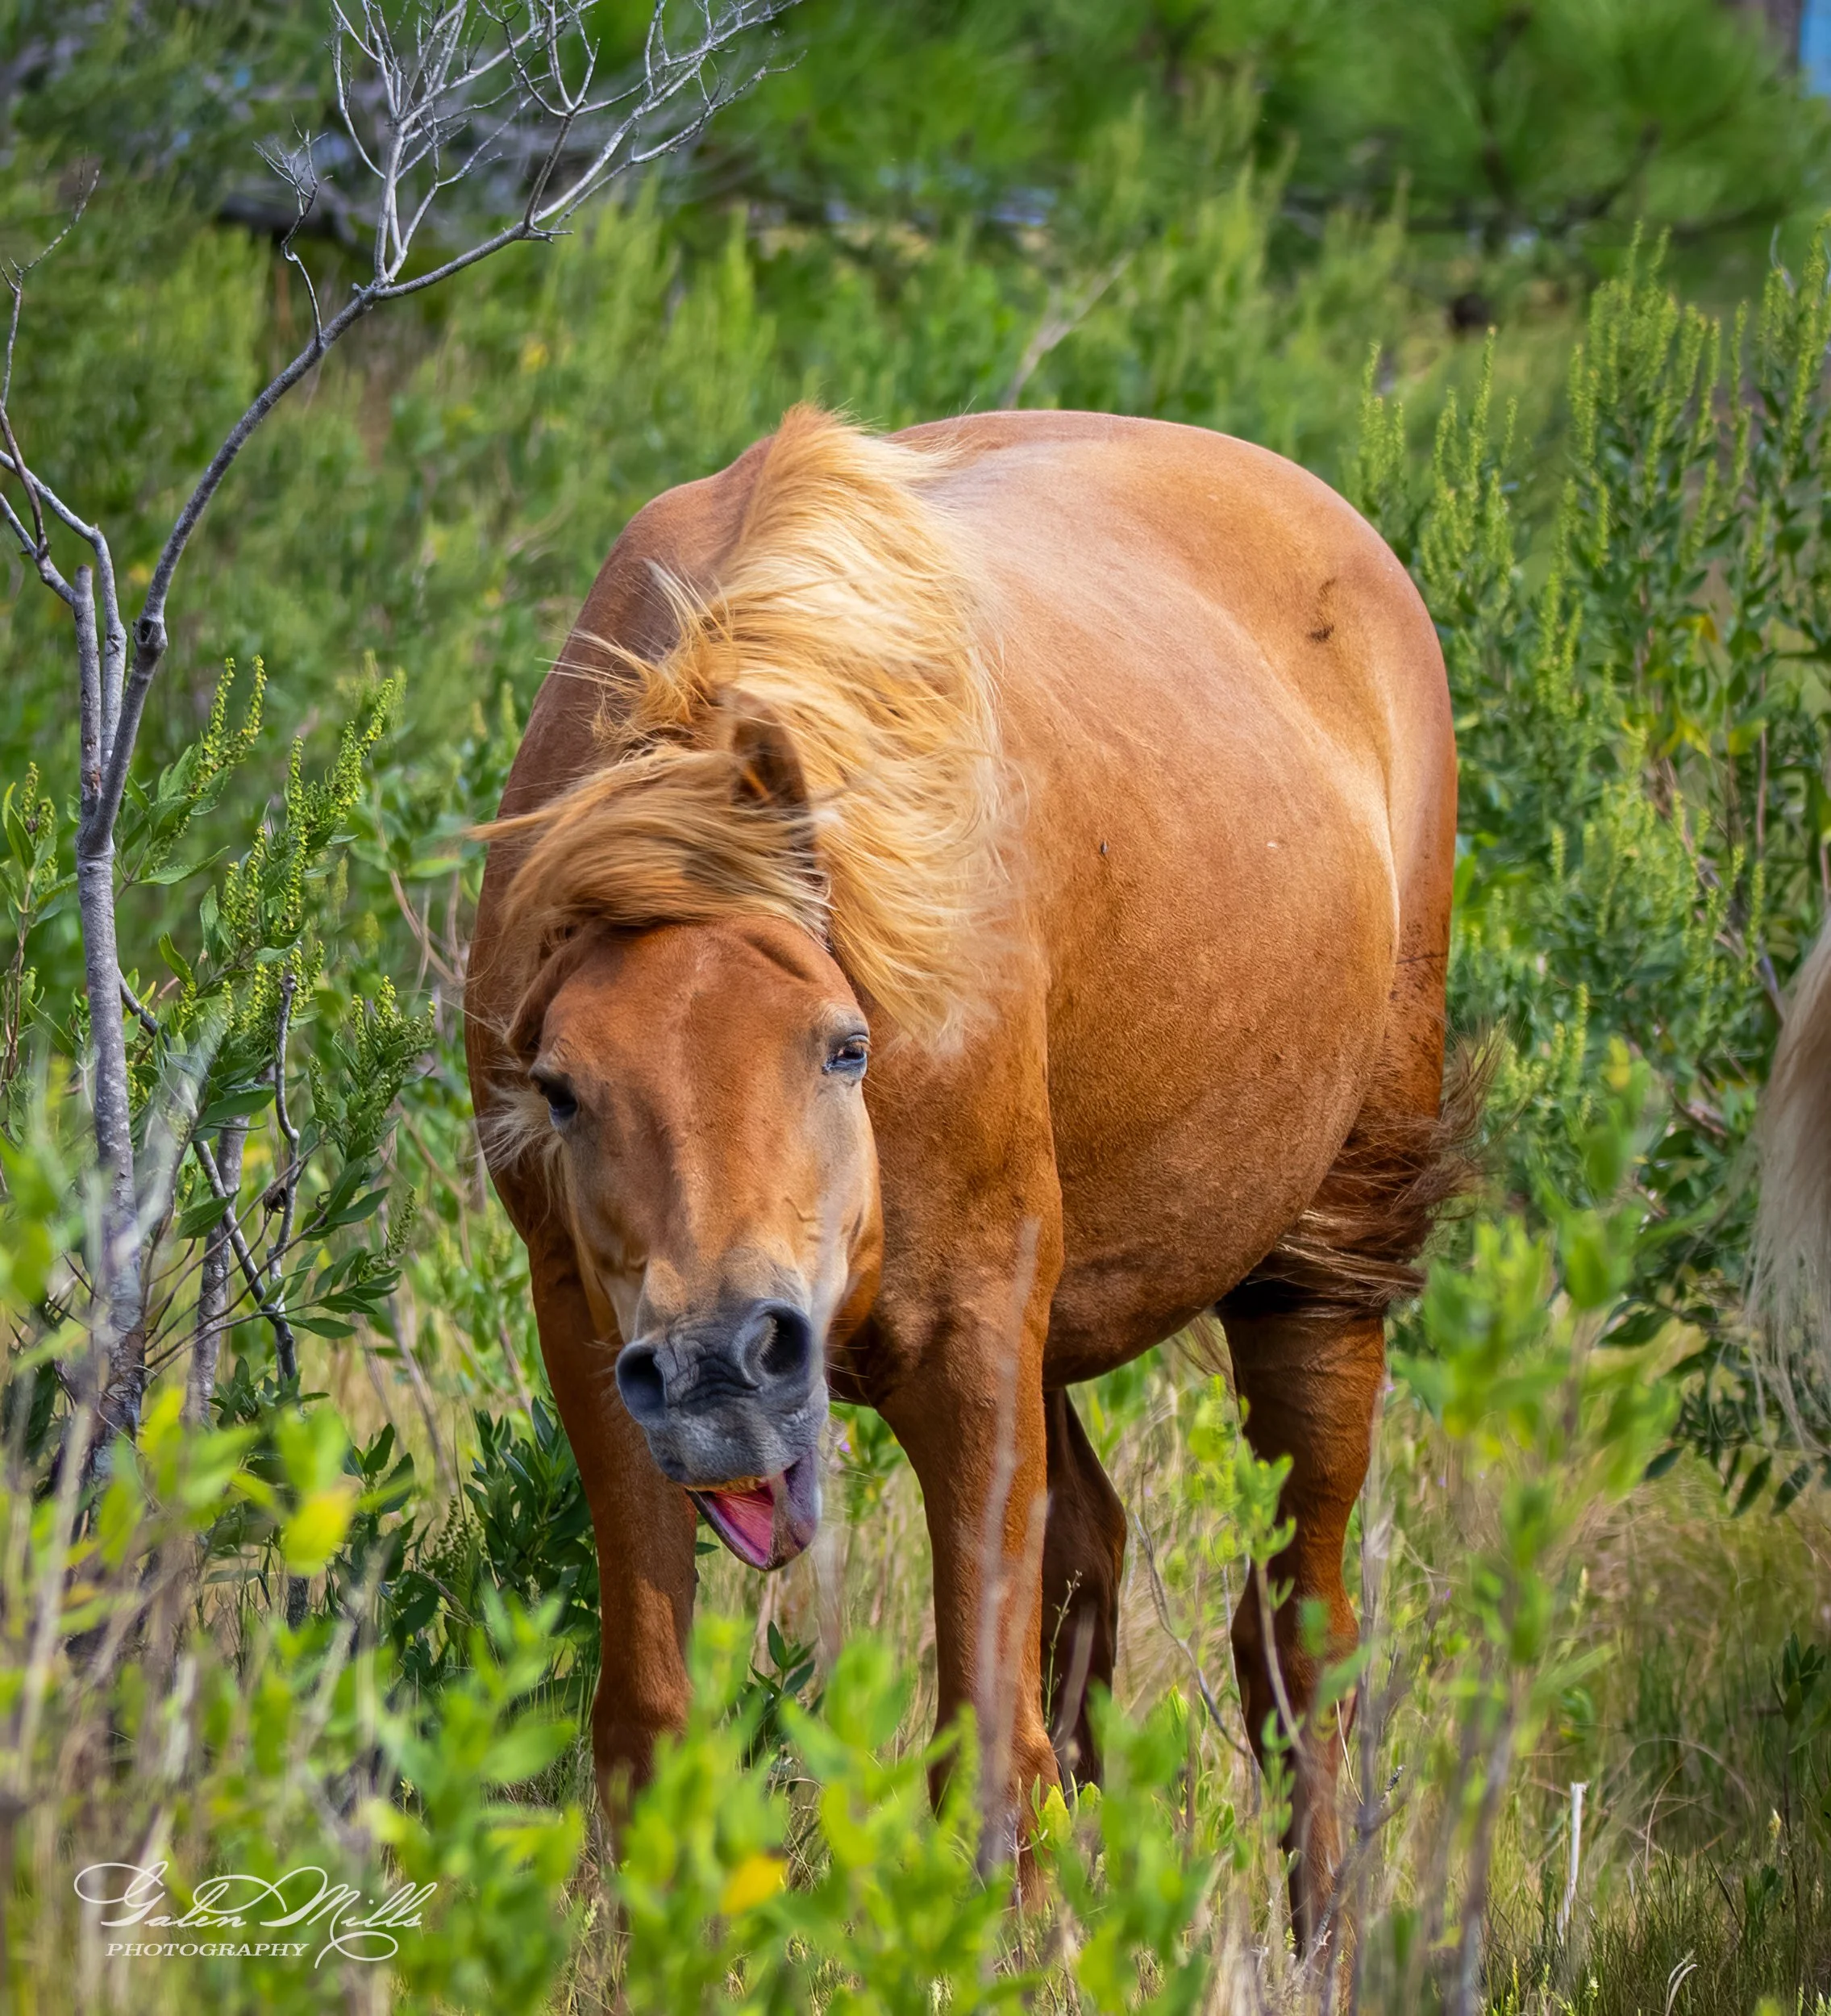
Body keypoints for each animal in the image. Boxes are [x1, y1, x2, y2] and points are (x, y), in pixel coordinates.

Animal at [464, 405, 1466, 1943]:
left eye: (843, 1046)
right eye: (562, 1088)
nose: (717, 1370)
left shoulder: (971, 1341)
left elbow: (987, 1763)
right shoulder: (591, 1343)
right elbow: (648, 1734)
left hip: (1315, 1274)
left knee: (1297, 1653)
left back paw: (1317, 1956)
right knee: (1095, 1575)